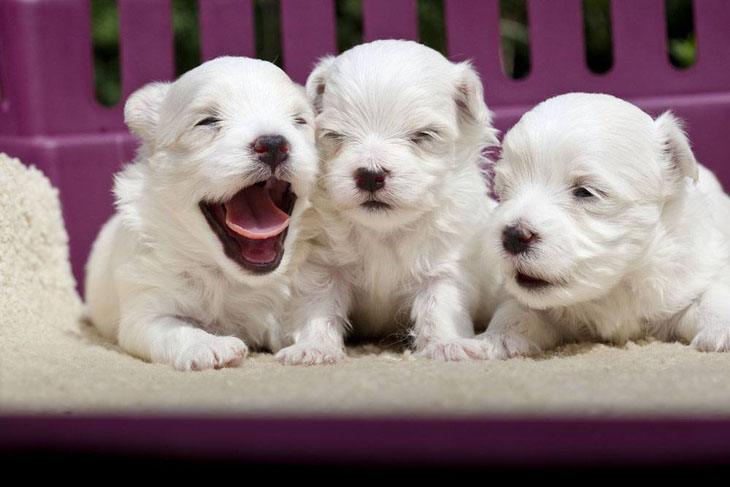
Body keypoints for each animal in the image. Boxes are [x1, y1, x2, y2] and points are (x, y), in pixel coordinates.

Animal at [84, 56, 318, 370]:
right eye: (207, 122)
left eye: (300, 121)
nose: (273, 144)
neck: (235, 279)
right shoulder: (145, 311)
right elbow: (175, 329)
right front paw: (210, 346)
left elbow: (314, 317)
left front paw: (313, 347)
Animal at [274, 40, 500, 366]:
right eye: (335, 136)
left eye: (423, 135)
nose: (370, 175)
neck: (385, 231)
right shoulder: (324, 266)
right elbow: (319, 307)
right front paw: (314, 347)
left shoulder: (444, 267)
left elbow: (440, 307)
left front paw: (449, 344)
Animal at [478, 93, 728, 358]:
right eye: (504, 189)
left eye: (585, 192)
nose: (513, 236)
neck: (613, 289)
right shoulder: (530, 304)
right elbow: (515, 312)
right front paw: (495, 339)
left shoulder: (697, 271)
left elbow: (712, 297)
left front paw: (721, 331)